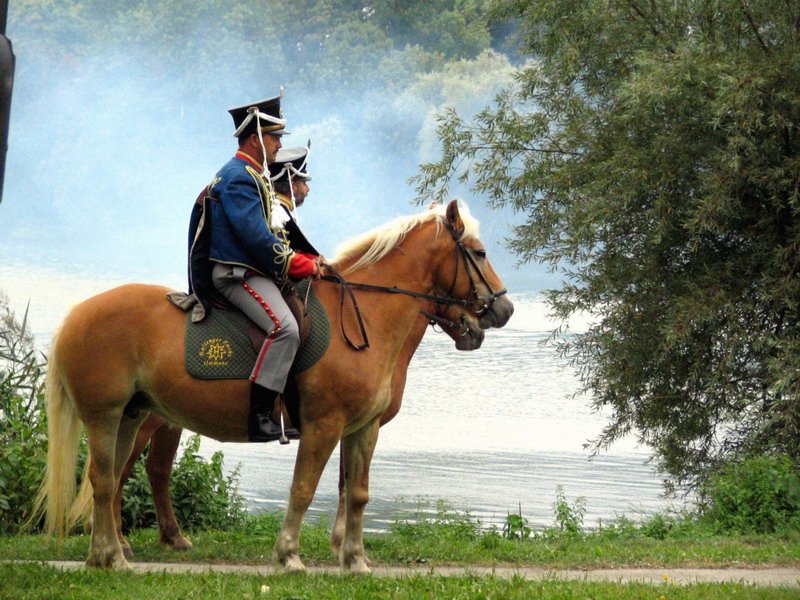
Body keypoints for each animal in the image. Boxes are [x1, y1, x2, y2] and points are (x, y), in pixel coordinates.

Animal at [34, 200, 512, 572]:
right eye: (479, 251)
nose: (503, 309)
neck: (367, 313)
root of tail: (77, 314)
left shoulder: (363, 429)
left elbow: (356, 492)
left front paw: (355, 559)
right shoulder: (323, 426)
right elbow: (304, 489)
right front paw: (289, 555)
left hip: (132, 417)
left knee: (117, 477)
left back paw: (107, 554)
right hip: (106, 416)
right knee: (104, 479)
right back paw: (115, 555)